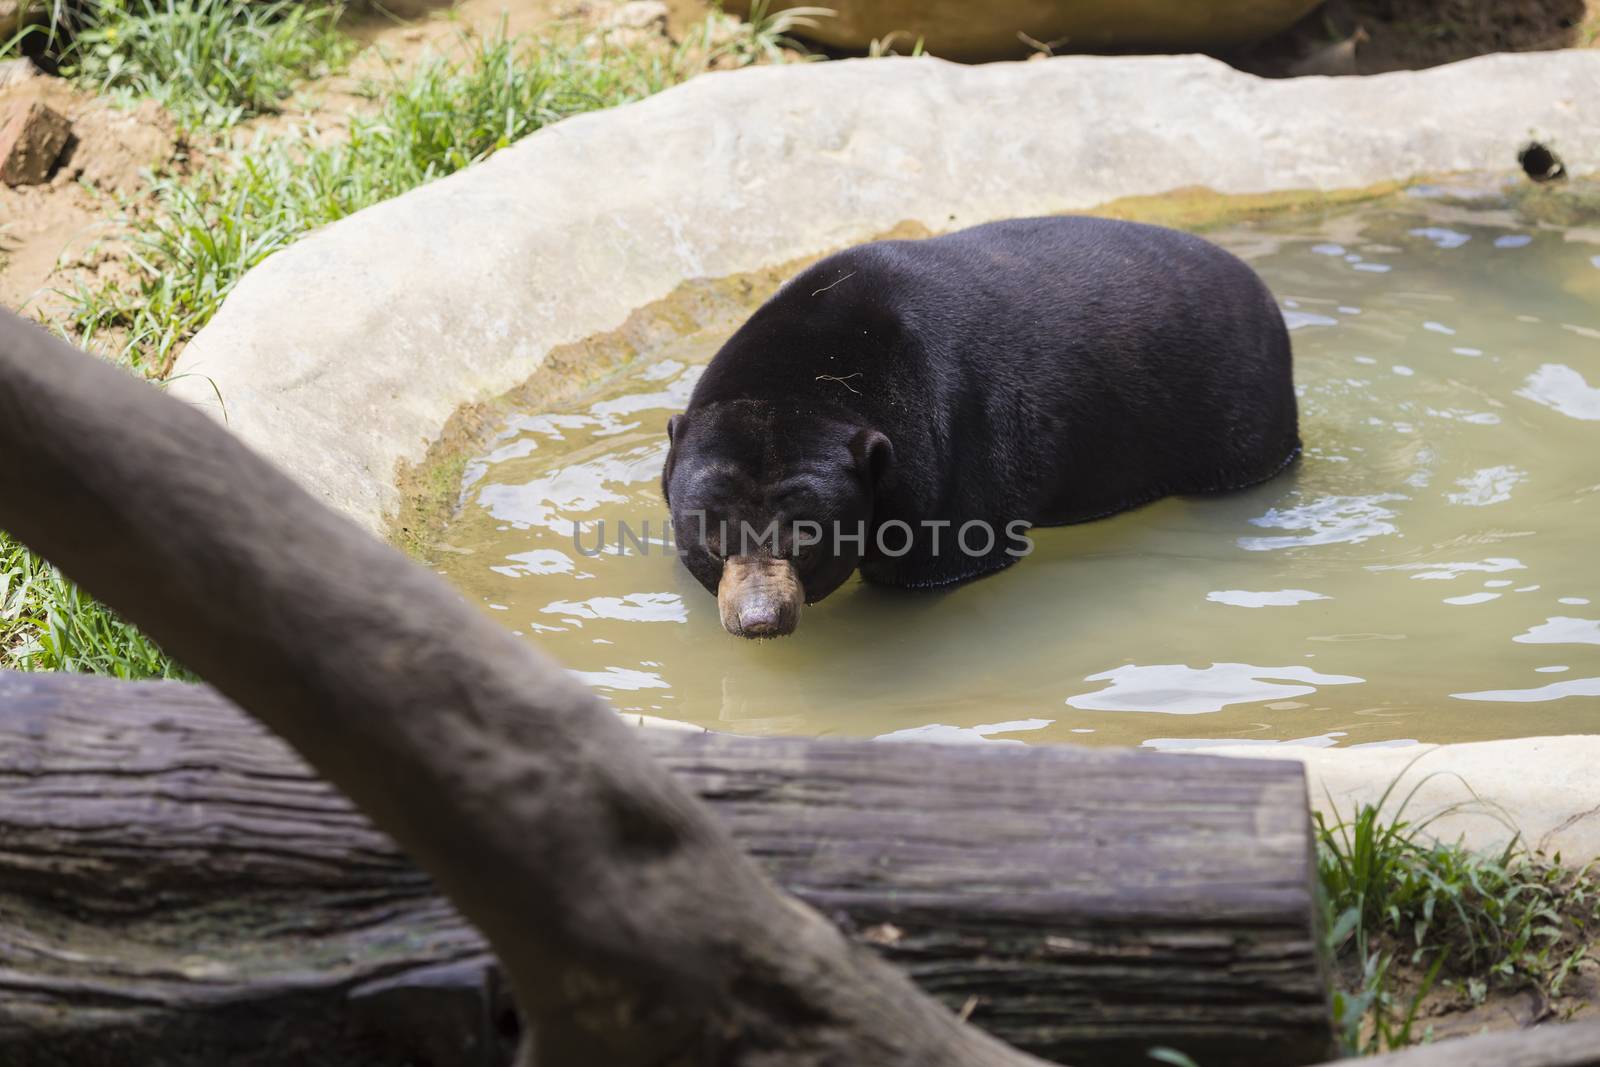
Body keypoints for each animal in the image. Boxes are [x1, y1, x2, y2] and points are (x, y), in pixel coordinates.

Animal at [662, 212, 1299, 639]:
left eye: (807, 542)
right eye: (714, 542)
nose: (760, 619)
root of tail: (1262, 290)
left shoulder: (950, 442)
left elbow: (945, 558)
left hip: (1238, 405)